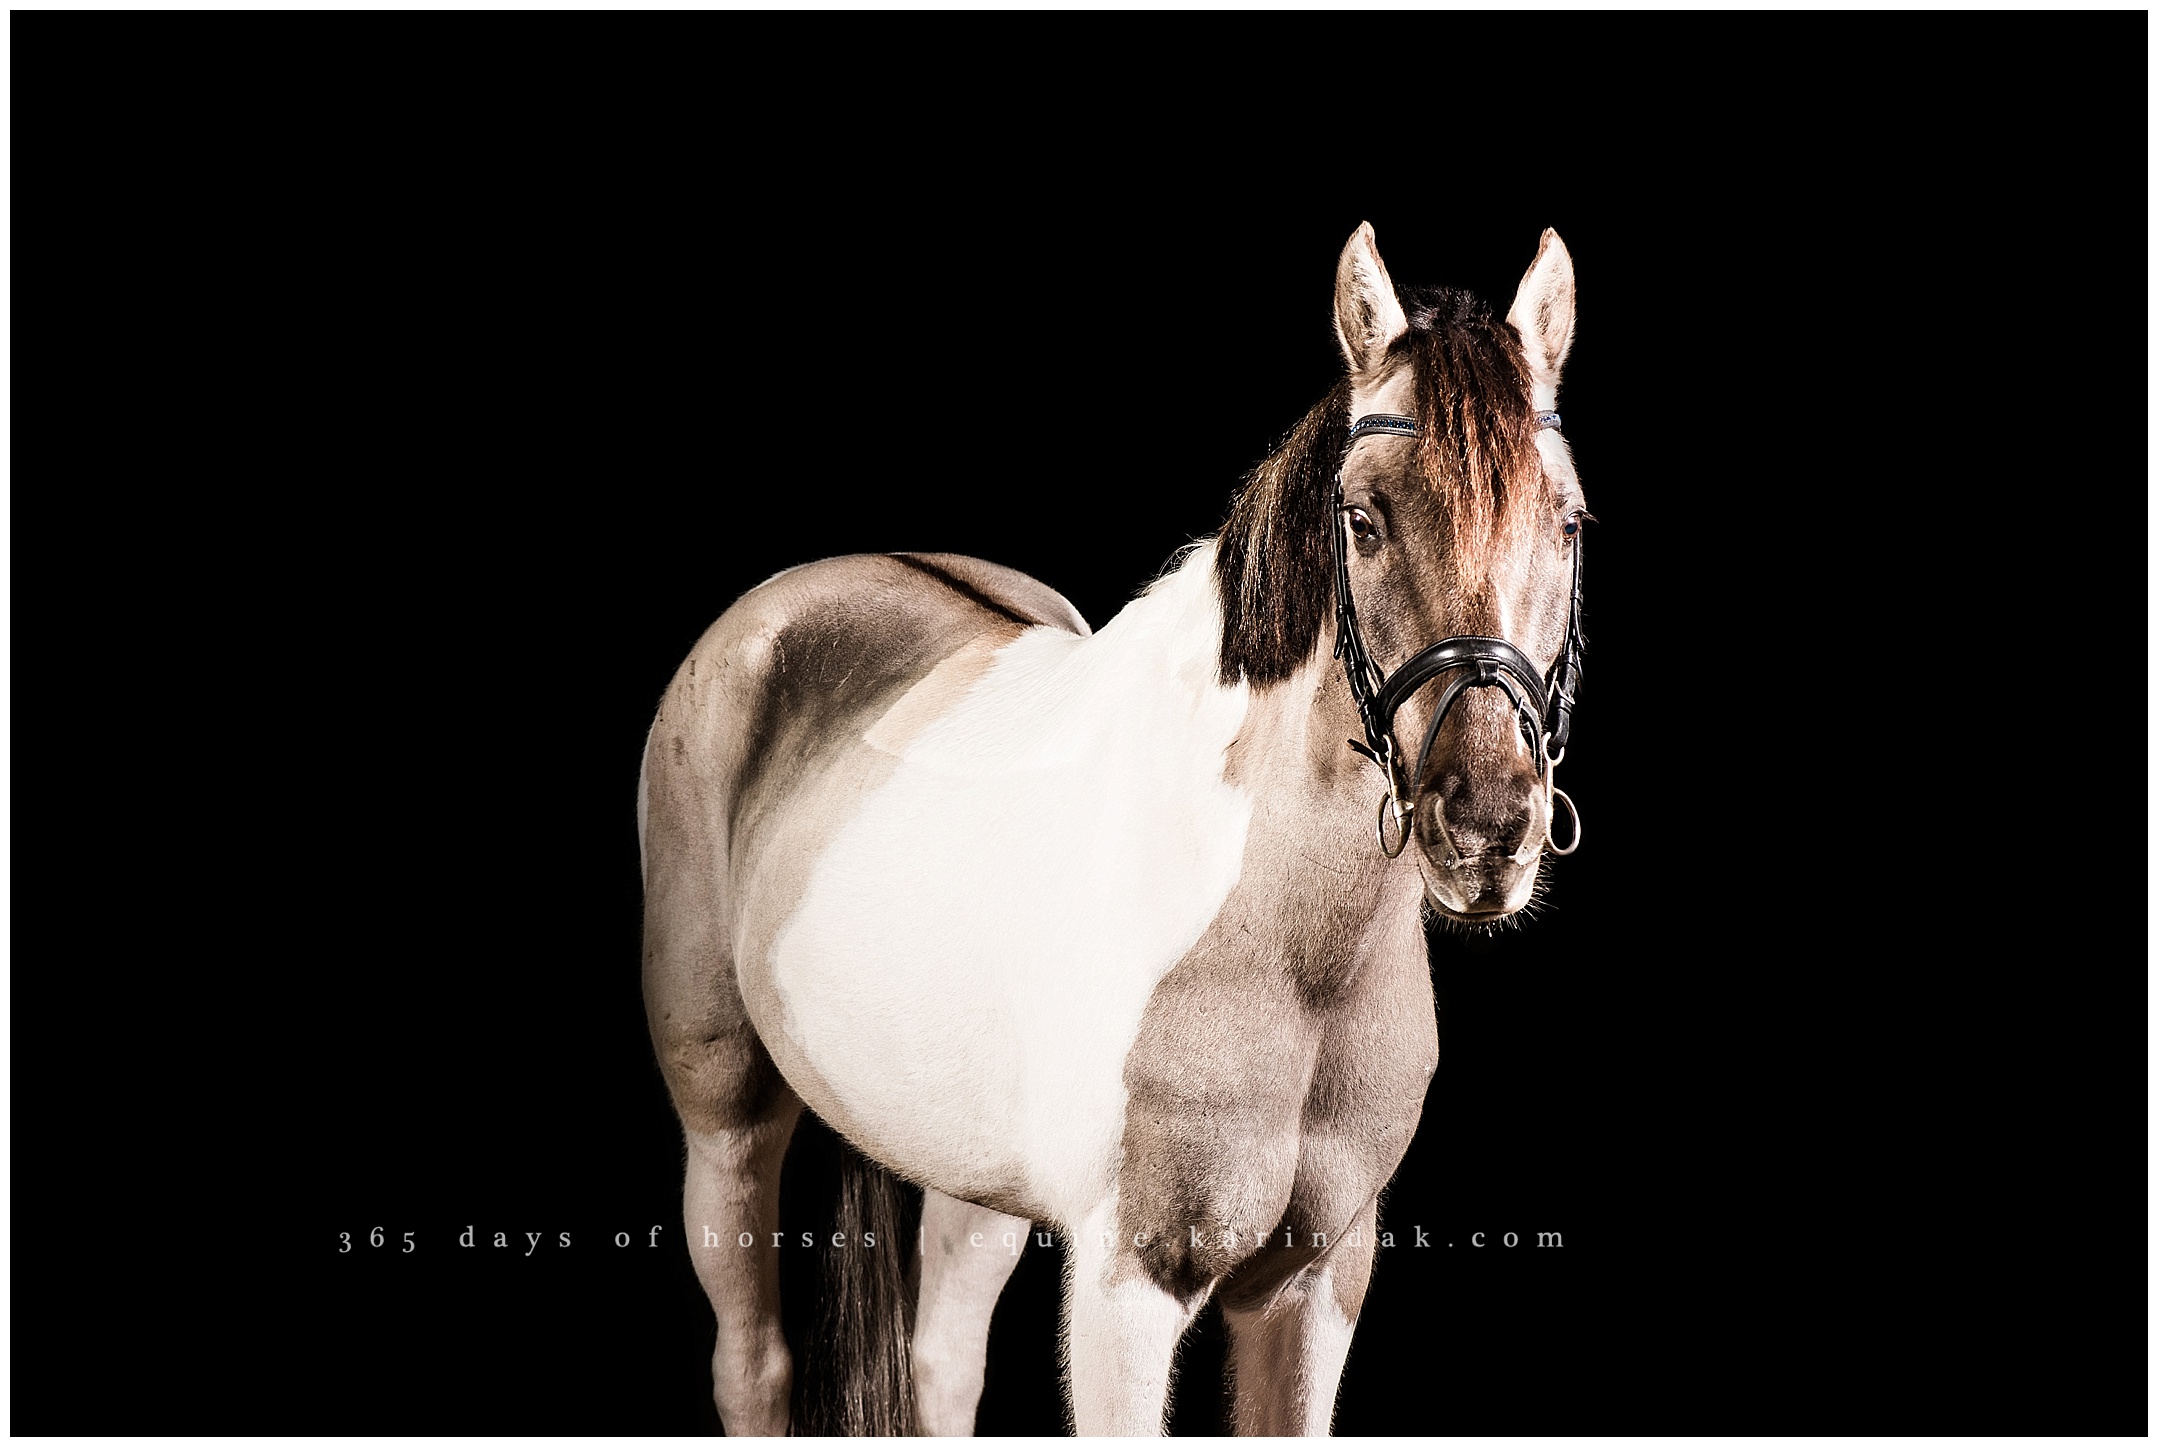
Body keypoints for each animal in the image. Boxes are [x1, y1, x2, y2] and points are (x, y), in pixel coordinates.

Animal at [639, 222, 1589, 1436]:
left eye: (1566, 522)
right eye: (1363, 520)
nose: (1484, 823)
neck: (1287, 948)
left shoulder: (1314, 1285)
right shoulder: (1127, 1287)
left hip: (971, 1183)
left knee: (943, 1364)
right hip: (723, 1119)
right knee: (752, 1363)